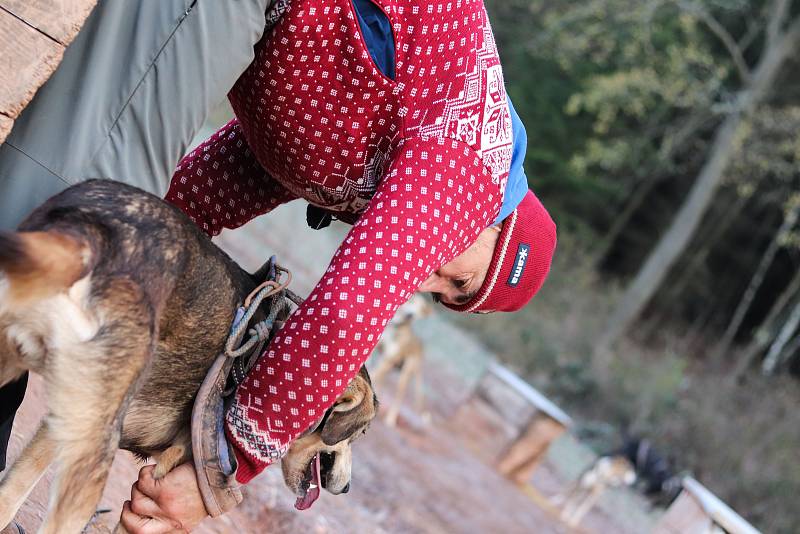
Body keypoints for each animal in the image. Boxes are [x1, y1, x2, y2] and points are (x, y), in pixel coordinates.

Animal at [0, 181, 378, 534]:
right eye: (359, 434)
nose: (347, 489)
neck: (261, 354)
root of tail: (94, 233)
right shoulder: (167, 480)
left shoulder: (56, 430)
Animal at [374, 296, 432, 430]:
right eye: (411, 301)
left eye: (421, 309)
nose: (410, 315)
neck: (395, 327)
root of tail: (421, 346)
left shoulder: (388, 359)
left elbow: (373, 374)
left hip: (404, 377)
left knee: (399, 398)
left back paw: (390, 419)